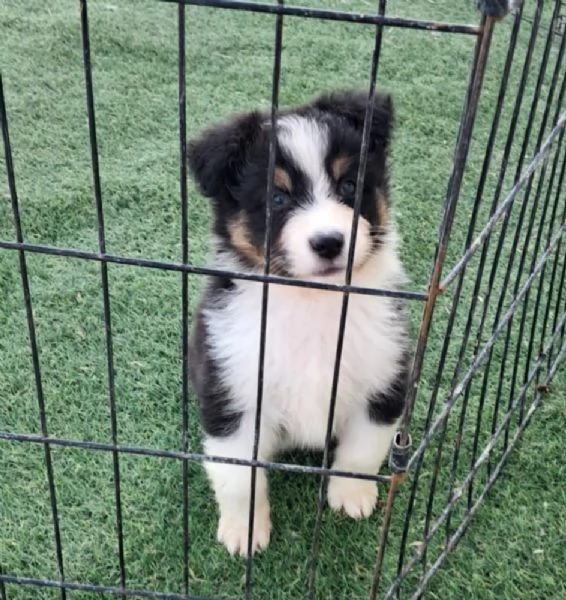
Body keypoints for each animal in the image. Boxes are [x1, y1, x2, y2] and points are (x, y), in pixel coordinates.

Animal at [189, 90, 410, 556]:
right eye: (277, 199)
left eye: (349, 186)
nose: (329, 242)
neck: (314, 300)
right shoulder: (231, 390)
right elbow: (238, 477)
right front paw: (244, 532)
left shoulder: (385, 376)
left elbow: (363, 450)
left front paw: (351, 497)